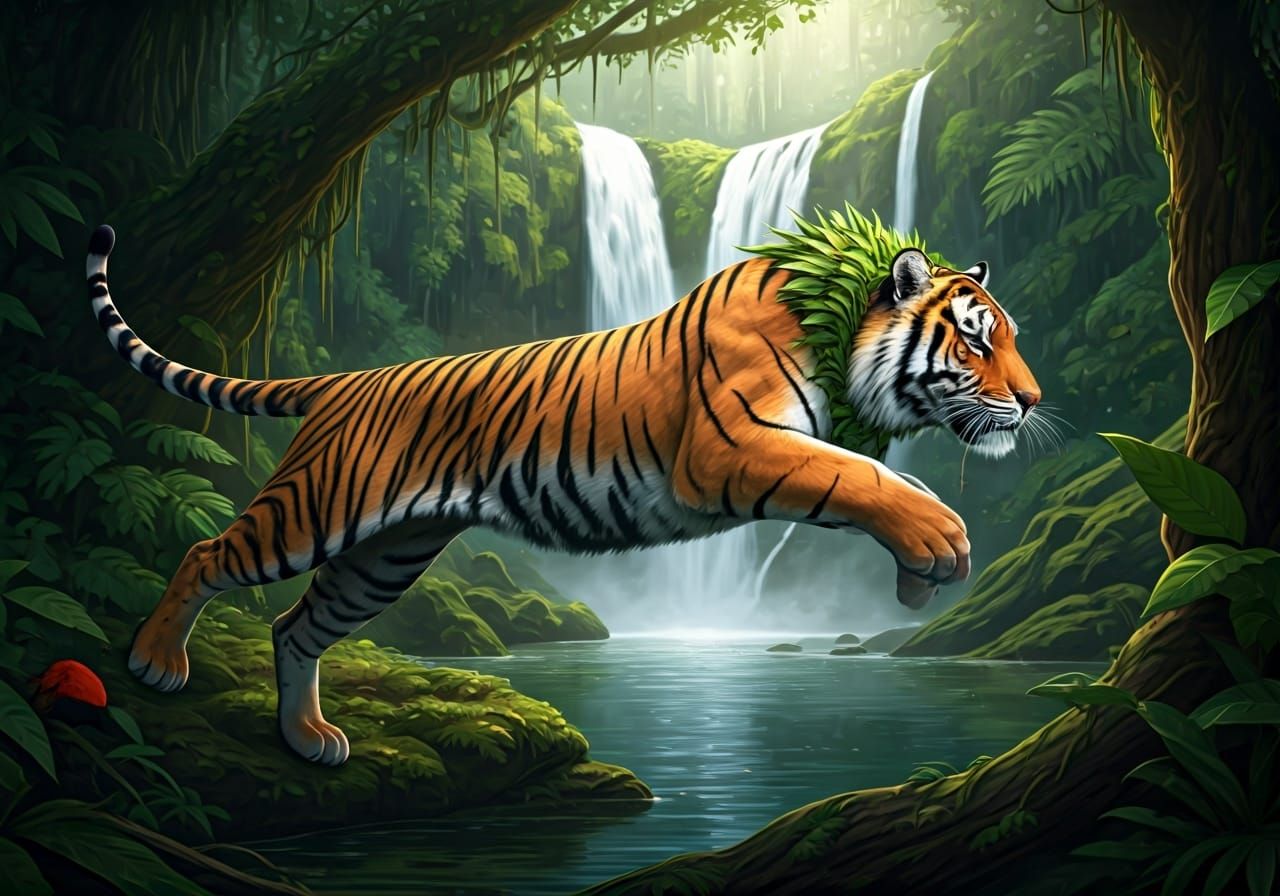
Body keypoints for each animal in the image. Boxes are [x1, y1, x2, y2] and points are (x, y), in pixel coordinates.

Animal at [85, 222, 1040, 766]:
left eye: (1011, 336)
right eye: (976, 340)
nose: (1032, 402)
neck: (834, 321)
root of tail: (344, 381)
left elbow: (894, 473)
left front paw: (922, 571)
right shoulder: (729, 447)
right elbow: (862, 474)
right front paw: (937, 545)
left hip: (383, 557)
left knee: (294, 625)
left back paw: (308, 738)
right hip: (314, 511)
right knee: (206, 553)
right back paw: (155, 662)